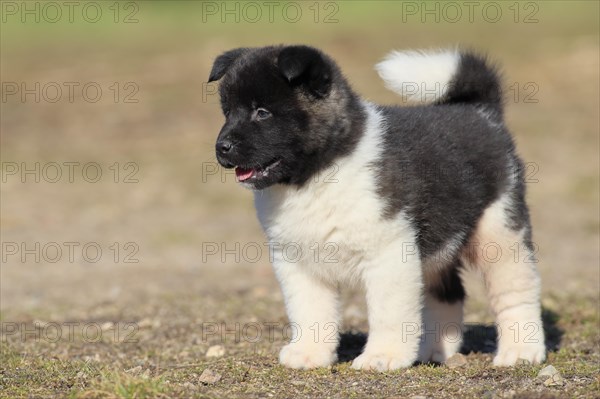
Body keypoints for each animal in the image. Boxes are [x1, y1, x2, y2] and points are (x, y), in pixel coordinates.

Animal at [209, 45, 548, 370]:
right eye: (227, 112)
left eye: (262, 112)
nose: (221, 148)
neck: (318, 173)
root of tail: (481, 112)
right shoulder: (297, 261)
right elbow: (309, 312)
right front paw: (309, 353)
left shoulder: (389, 254)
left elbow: (389, 313)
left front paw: (382, 356)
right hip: (437, 245)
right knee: (449, 295)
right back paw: (433, 350)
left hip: (500, 233)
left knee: (517, 294)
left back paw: (521, 352)